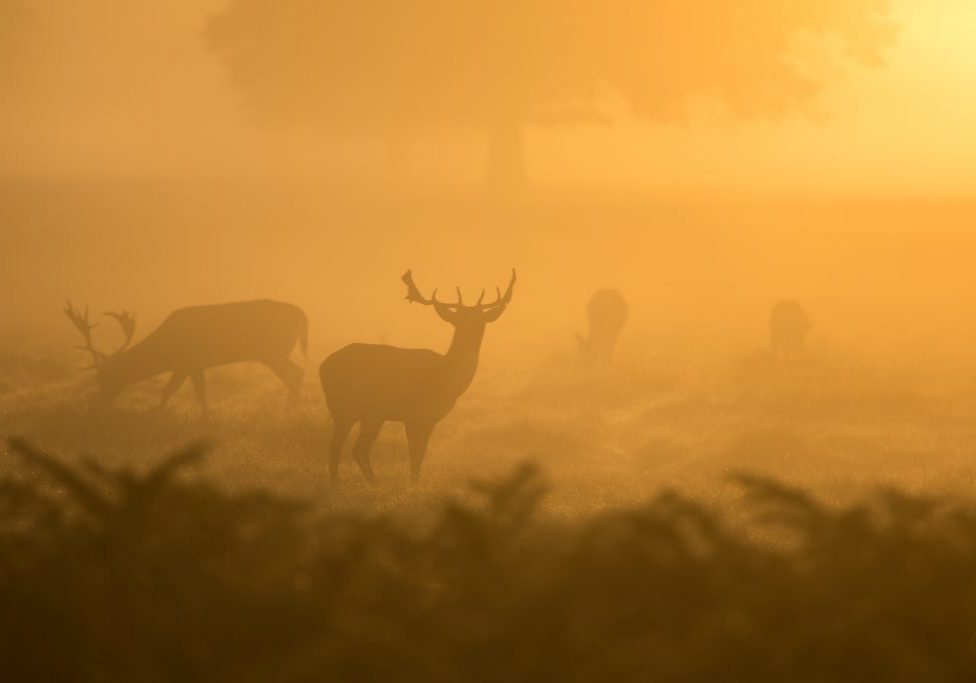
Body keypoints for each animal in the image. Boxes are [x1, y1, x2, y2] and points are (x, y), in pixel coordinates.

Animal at [65, 298, 306, 412]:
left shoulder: (192, 361)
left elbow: (189, 393)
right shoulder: (184, 366)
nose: (101, 400)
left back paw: (288, 411)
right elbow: (173, 392)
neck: (166, 349)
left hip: (272, 351)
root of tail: (303, 316)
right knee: (298, 373)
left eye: (103, 375)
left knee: (295, 374)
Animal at [322, 268, 520, 486]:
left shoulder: (427, 418)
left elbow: (419, 454)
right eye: (458, 320)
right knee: (344, 447)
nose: (473, 333)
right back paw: (349, 483)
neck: (446, 378)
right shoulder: (414, 414)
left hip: (366, 414)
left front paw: (414, 482)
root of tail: (323, 366)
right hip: (348, 408)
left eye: (481, 320)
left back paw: (362, 483)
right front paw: (413, 485)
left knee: (351, 448)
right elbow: (415, 454)